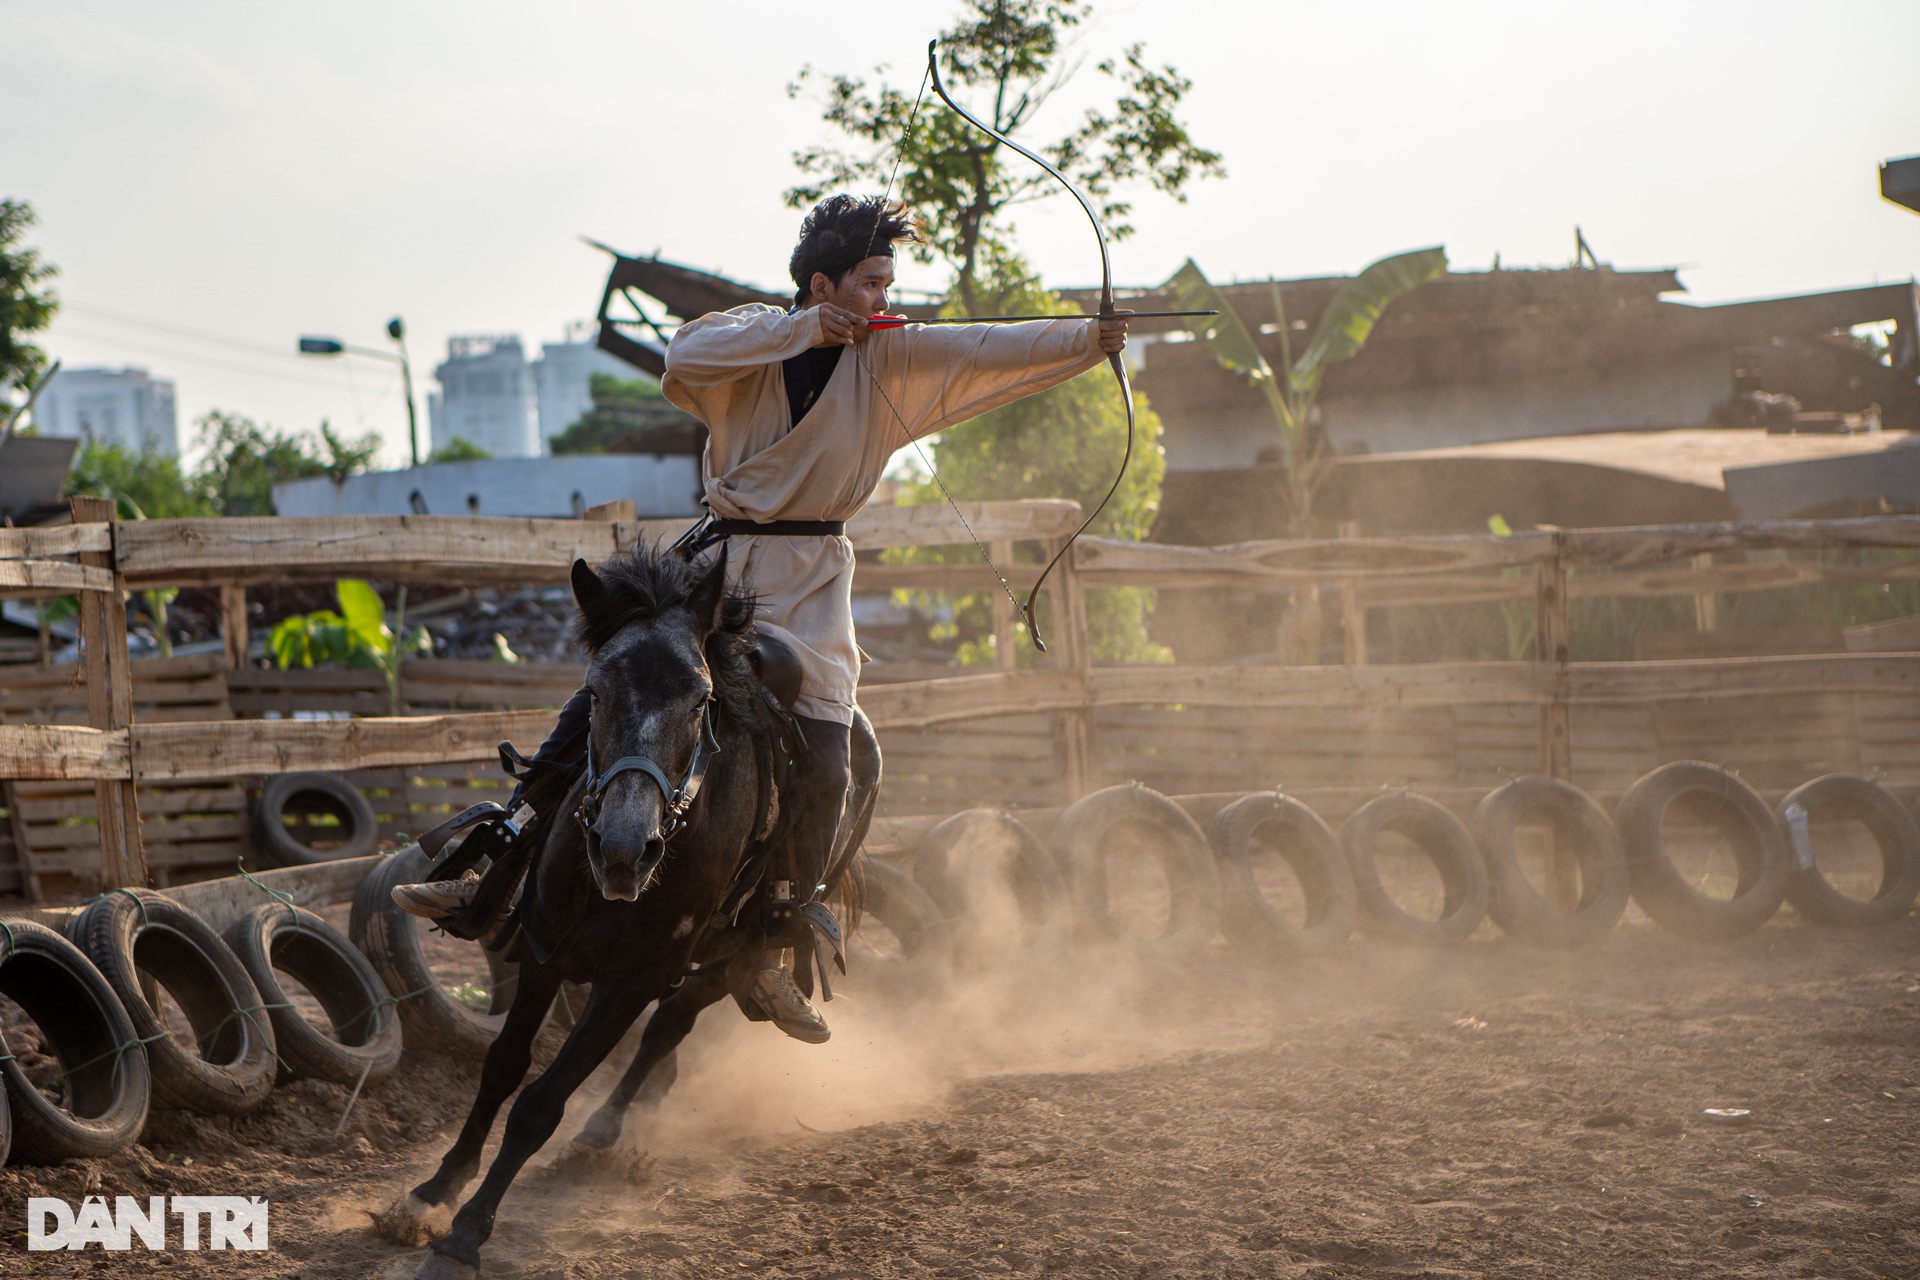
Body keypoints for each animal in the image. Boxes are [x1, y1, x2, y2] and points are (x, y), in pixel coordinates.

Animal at [391, 545, 883, 1274]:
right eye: (594, 693)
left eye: (702, 700)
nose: (625, 848)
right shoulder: (543, 951)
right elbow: (504, 1066)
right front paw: (436, 1187)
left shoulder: (634, 979)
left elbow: (541, 1104)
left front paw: (467, 1232)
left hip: (723, 958)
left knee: (671, 1024)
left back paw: (610, 1121)